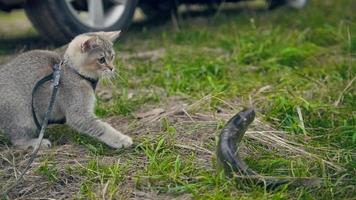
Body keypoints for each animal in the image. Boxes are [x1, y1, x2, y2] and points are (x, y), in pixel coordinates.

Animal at [0, 31, 133, 149]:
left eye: (112, 57)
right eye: (101, 59)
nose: (112, 68)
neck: (74, 72)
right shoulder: (79, 114)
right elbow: (102, 127)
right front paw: (121, 140)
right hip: (23, 115)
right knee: (17, 140)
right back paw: (36, 143)